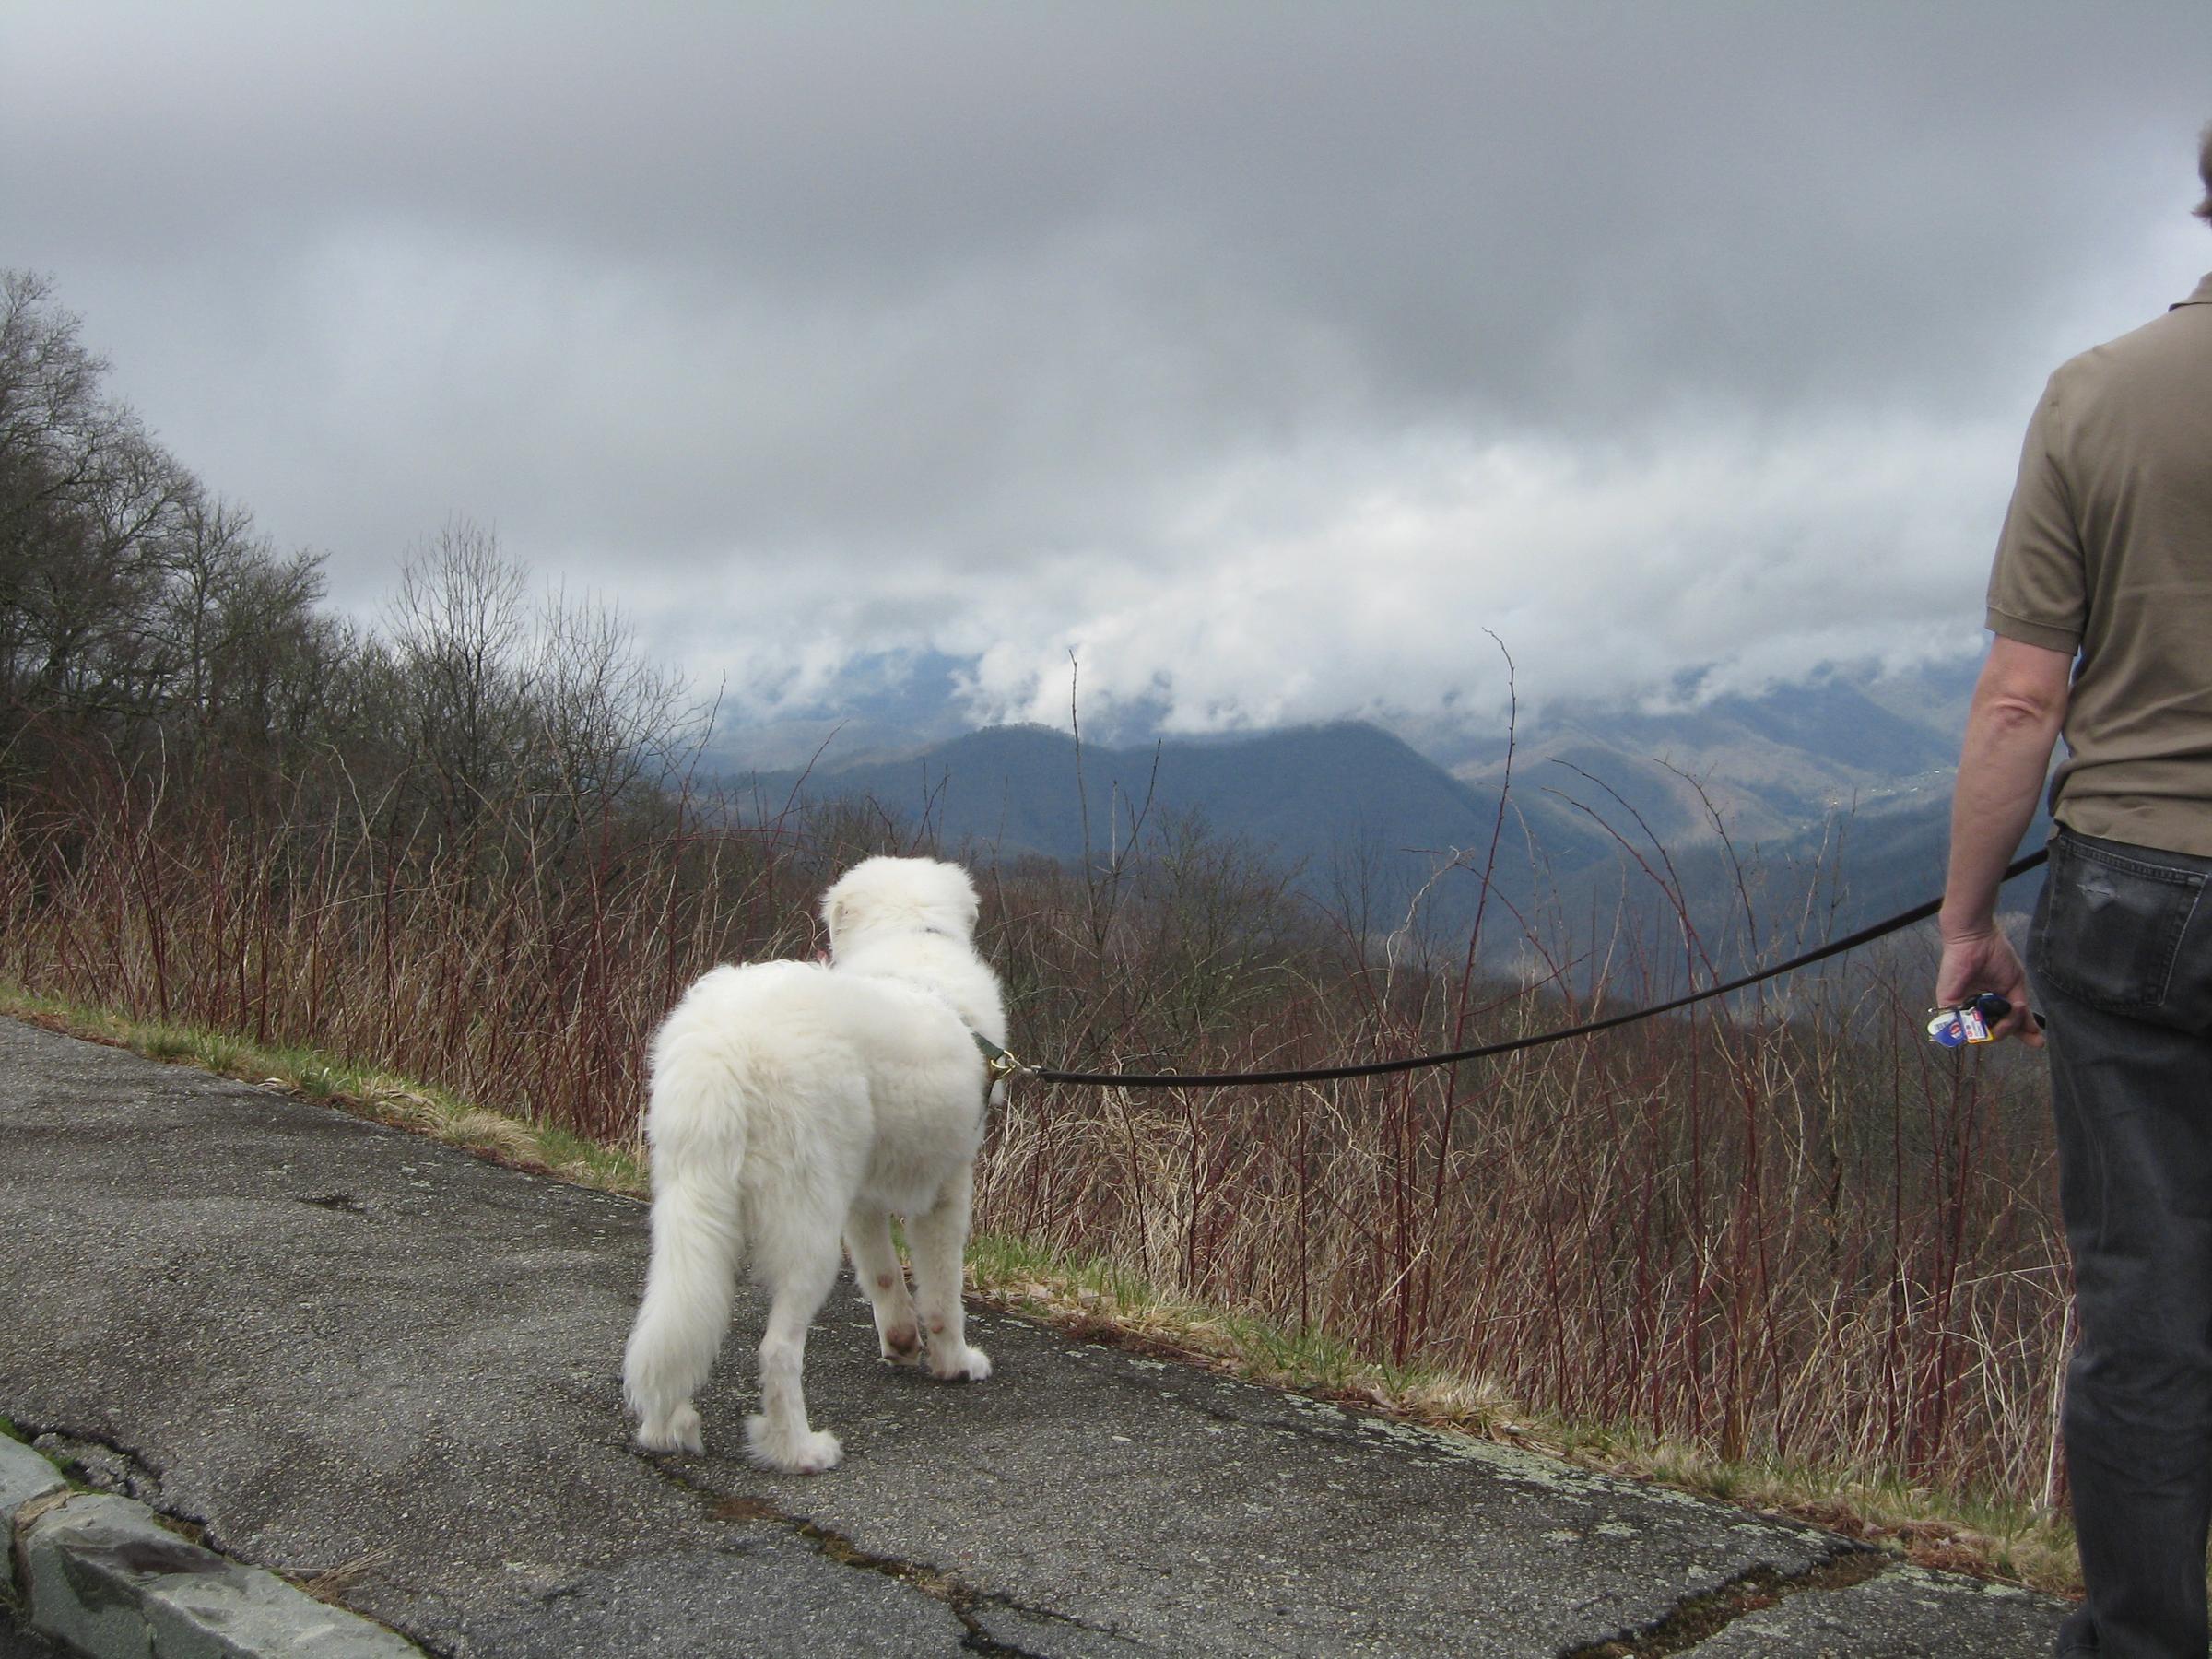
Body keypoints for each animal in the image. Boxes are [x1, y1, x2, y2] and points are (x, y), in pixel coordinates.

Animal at [623, 863, 1004, 1477]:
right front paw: (956, 1363)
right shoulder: (947, 1191)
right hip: (807, 1227)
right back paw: (800, 1450)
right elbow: (943, 1293)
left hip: (691, 1204)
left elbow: (883, 1277)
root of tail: (725, 1044)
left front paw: (901, 1343)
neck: (910, 937)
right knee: (777, 1350)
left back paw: (666, 1425)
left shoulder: (861, 1201)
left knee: (675, 1315)